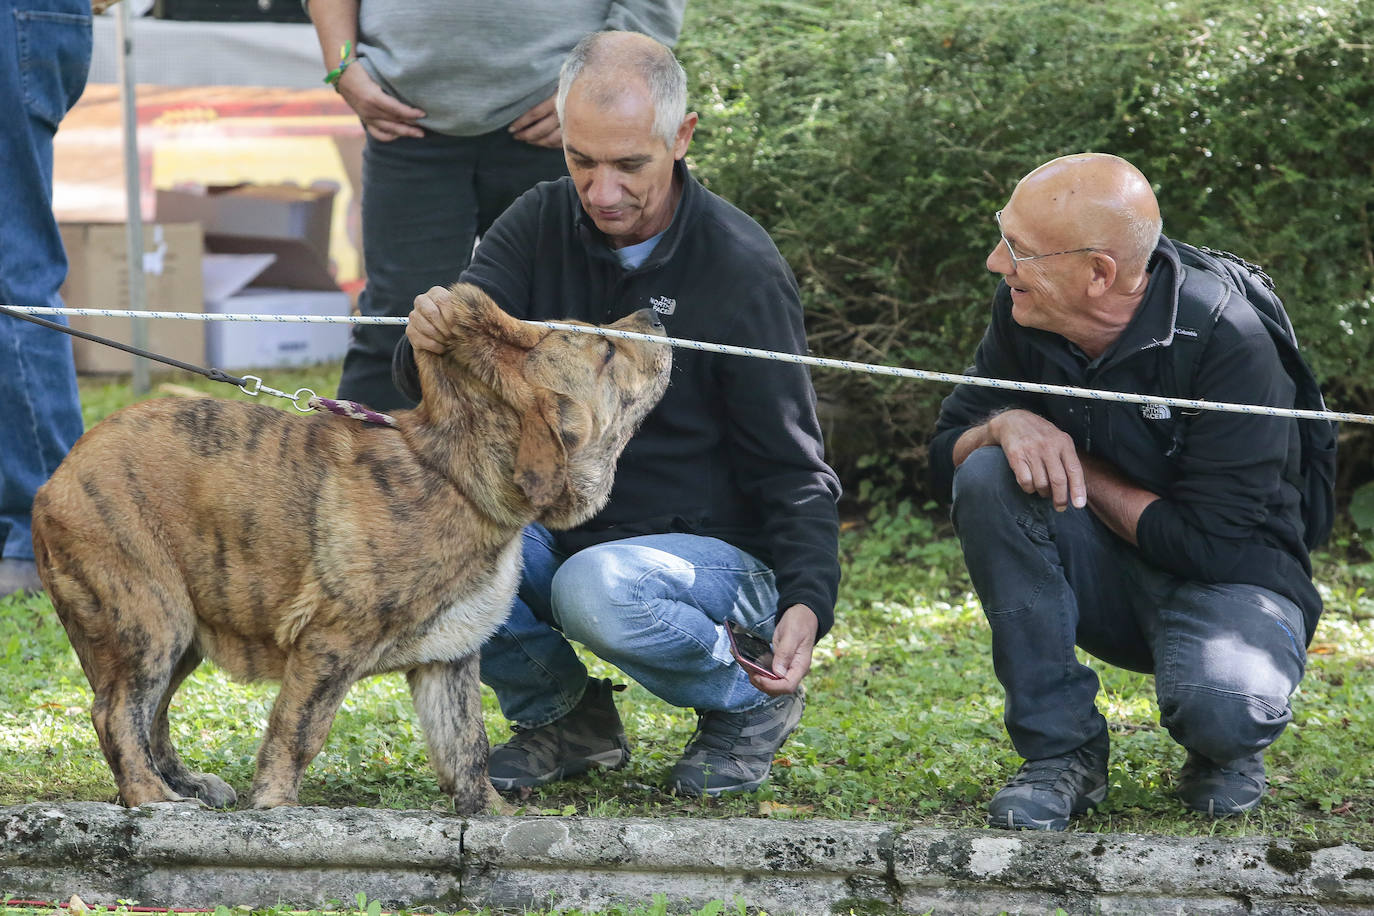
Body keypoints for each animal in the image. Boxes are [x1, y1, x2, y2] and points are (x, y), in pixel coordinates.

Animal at [33, 282, 670, 813]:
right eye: (606, 351)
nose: (656, 314)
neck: (456, 476)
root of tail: (54, 480)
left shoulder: (449, 660)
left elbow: (466, 745)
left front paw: (491, 814)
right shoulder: (328, 645)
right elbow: (297, 734)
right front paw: (275, 809)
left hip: (182, 628)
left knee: (153, 712)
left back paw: (182, 784)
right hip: (149, 617)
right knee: (117, 712)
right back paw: (153, 799)